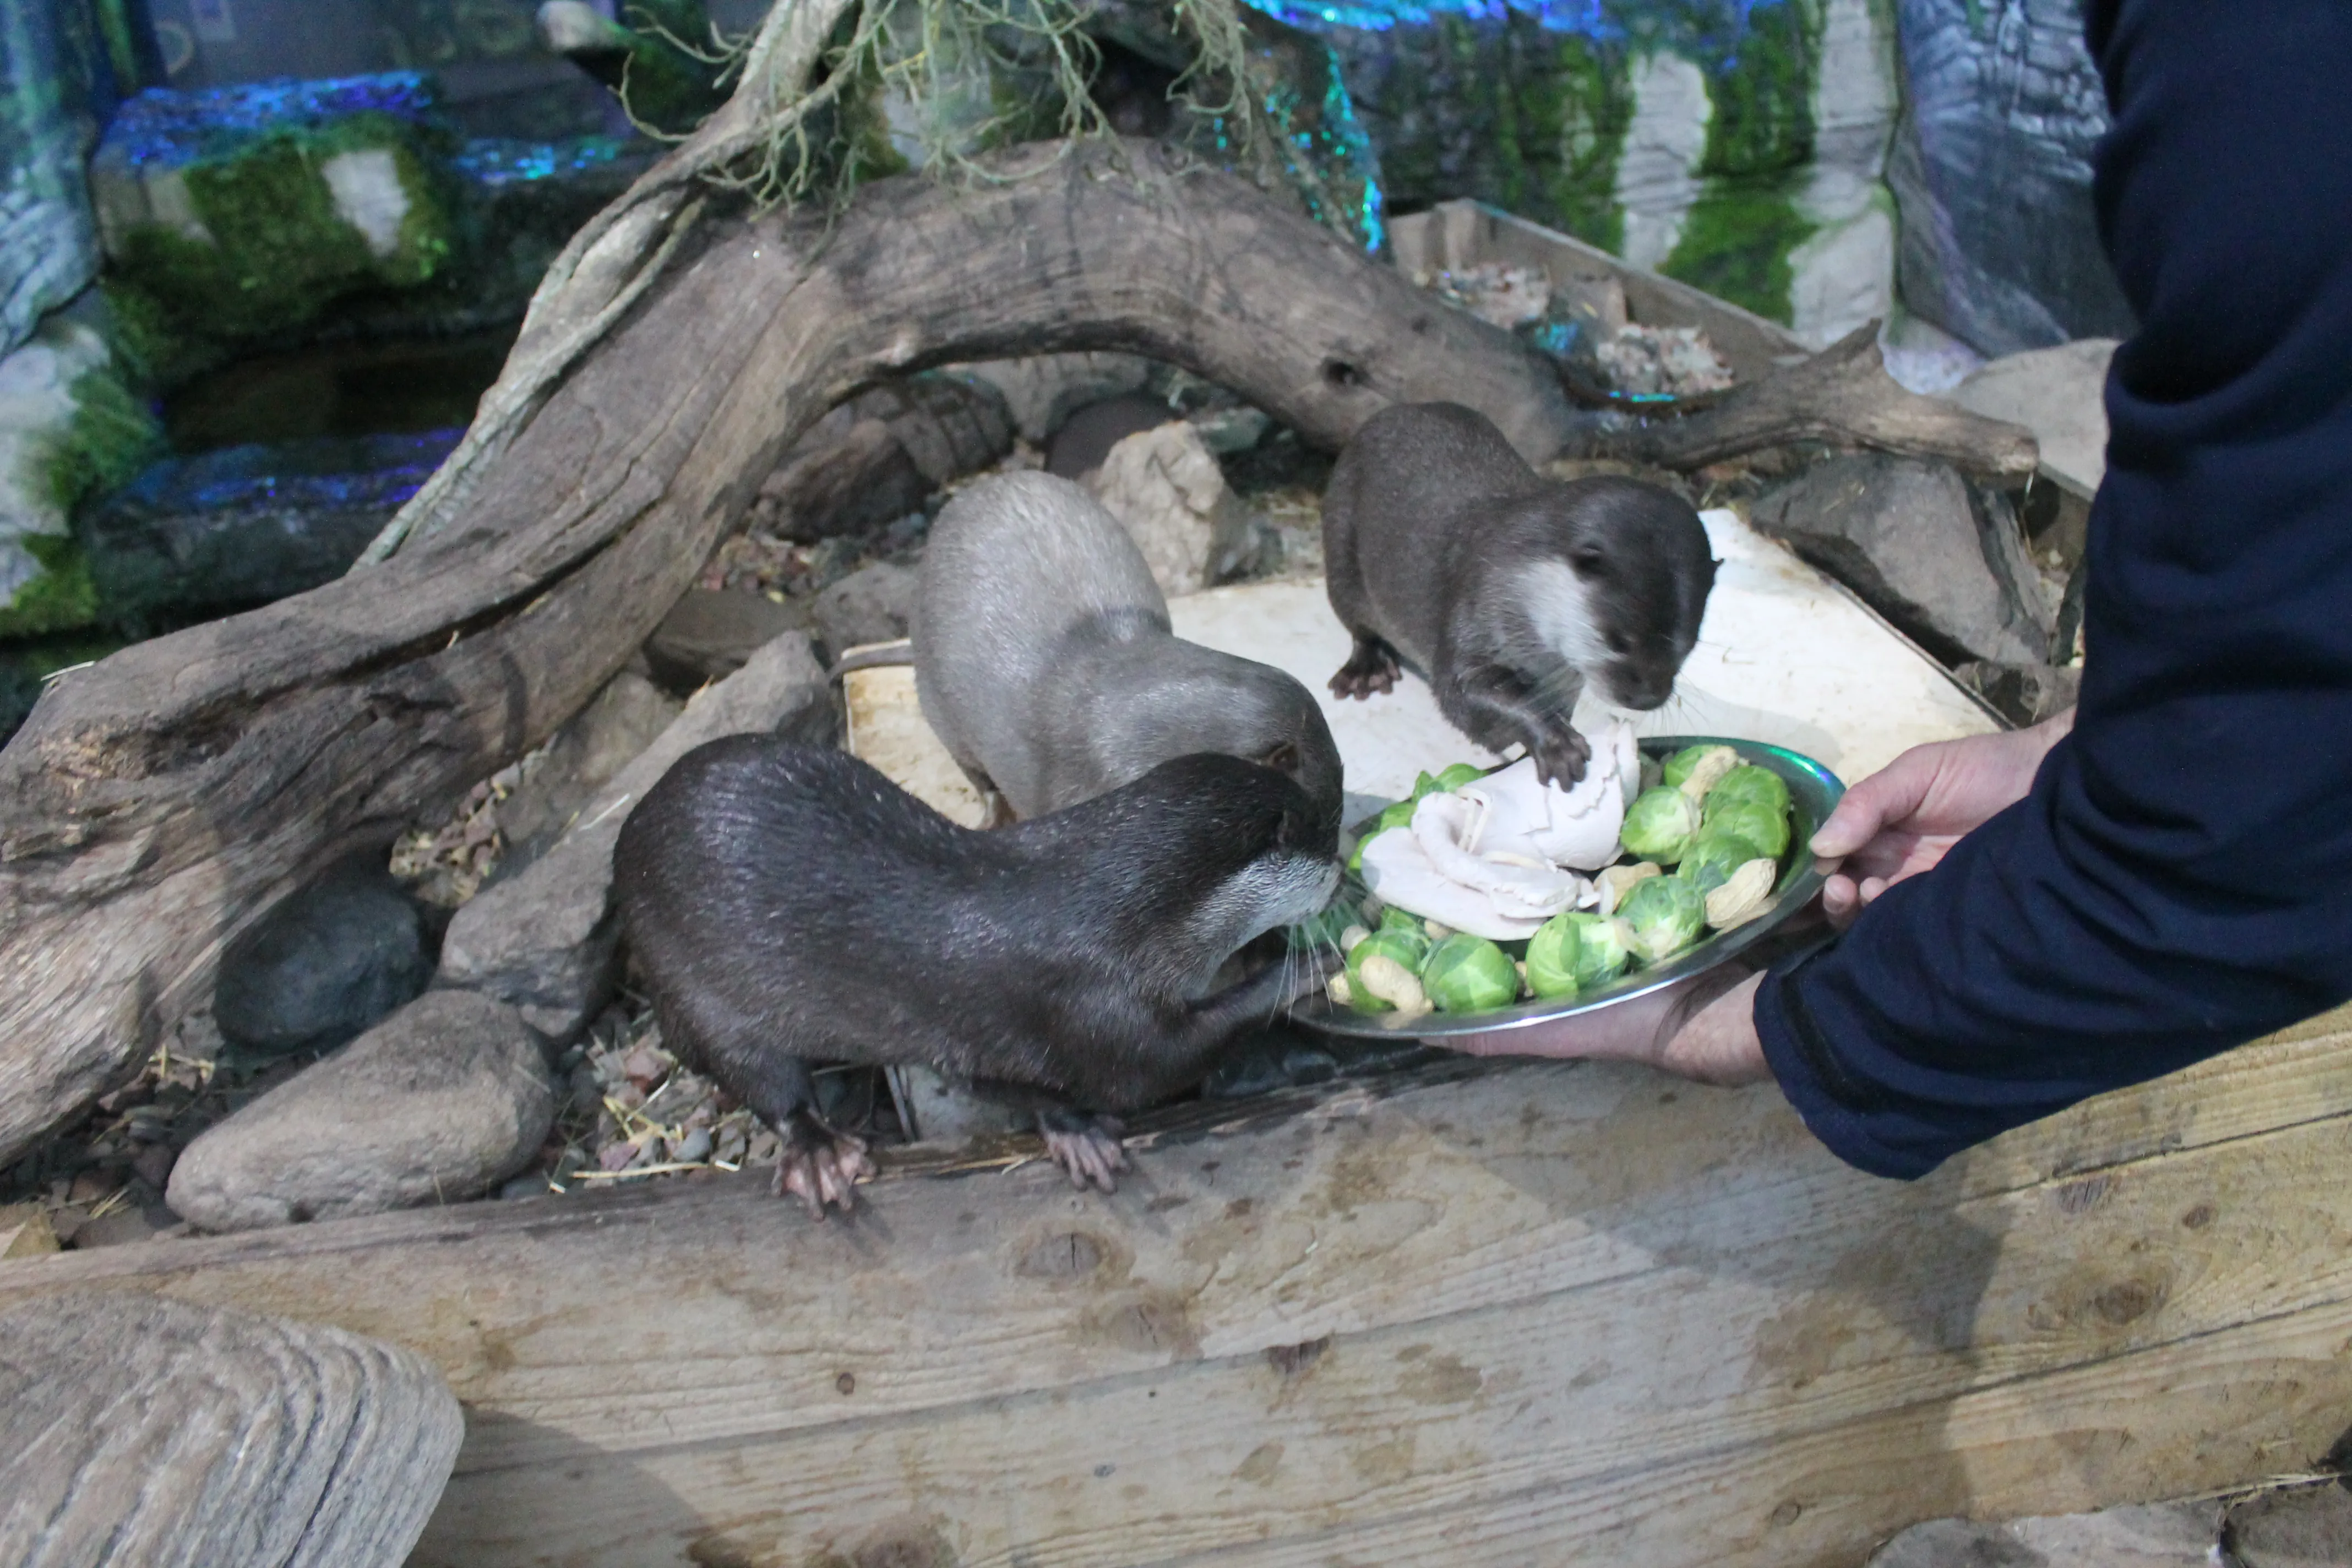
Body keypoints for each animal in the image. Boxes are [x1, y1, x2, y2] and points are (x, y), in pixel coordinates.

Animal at [611, 743, 1345, 1222]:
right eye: (1319, 835)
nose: (1341, 871)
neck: (1105, 908)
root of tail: (625, 849)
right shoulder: (1090, 1006)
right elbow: (1153, 1068)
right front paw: (1301, 972)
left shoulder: (973, 1043)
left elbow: (1010, 1082)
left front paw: (1070, 1128)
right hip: (695, 988)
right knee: (759, 1079)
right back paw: (818, 1151)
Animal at [1326, 402, 1712, 785]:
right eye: (1617, 641)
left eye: (1687, 649)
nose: (1647, 698)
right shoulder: (1472, 611)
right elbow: (1463, 696)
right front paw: (1555, 743)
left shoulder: (1564, 682)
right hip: (1341, 546)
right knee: (1356, 622)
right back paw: (1367, 668)